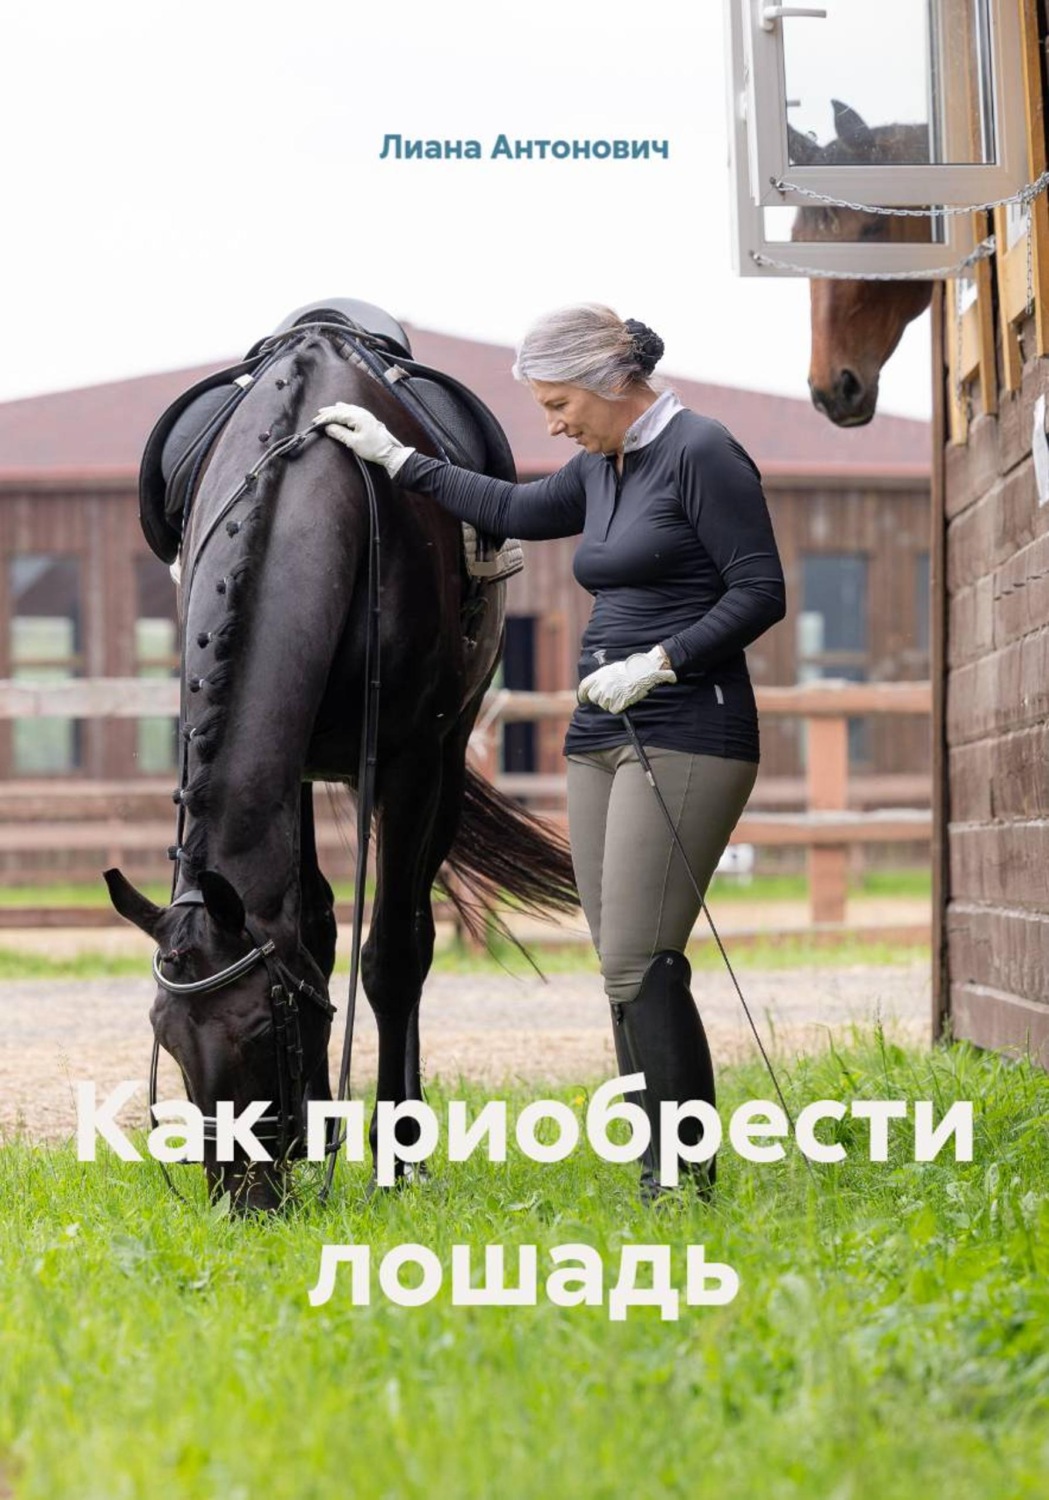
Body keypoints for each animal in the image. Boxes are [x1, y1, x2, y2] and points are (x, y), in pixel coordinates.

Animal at [104, 311, 578, 1211]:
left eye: (260, 1028)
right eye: (165, 1037)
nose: (243, 1202)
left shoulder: (409, 761)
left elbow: (391, 954)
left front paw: (398, 1158)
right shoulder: (285, 771)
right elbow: (313, 932)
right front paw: (321, 1133)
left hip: (441, 760)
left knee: (411, 931)